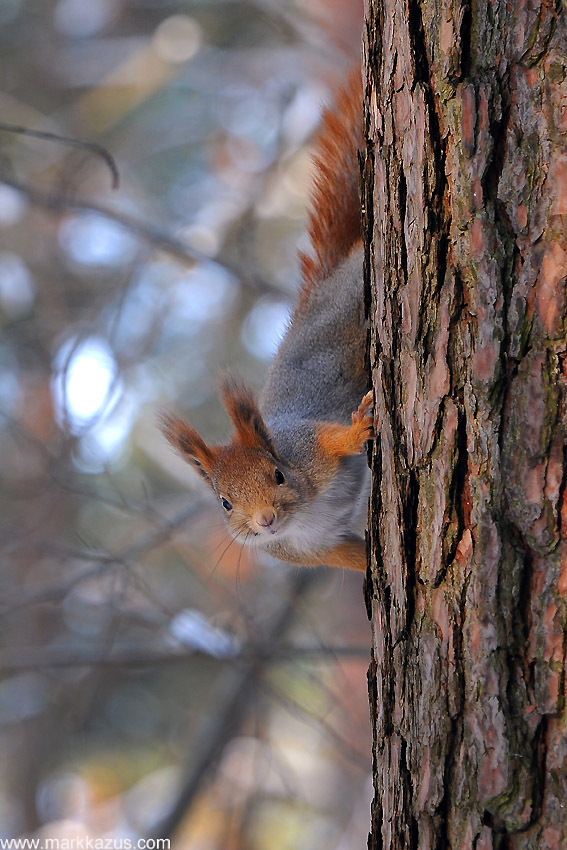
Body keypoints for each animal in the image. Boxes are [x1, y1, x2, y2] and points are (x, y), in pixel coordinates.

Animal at [162, 73, 372, 572]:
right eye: (225, 503)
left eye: (277, 474)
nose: (265, 520)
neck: (305, 516)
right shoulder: (314, 549)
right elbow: (351, 555)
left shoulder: (306, 446)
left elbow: (332, 439)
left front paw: (358, 430)